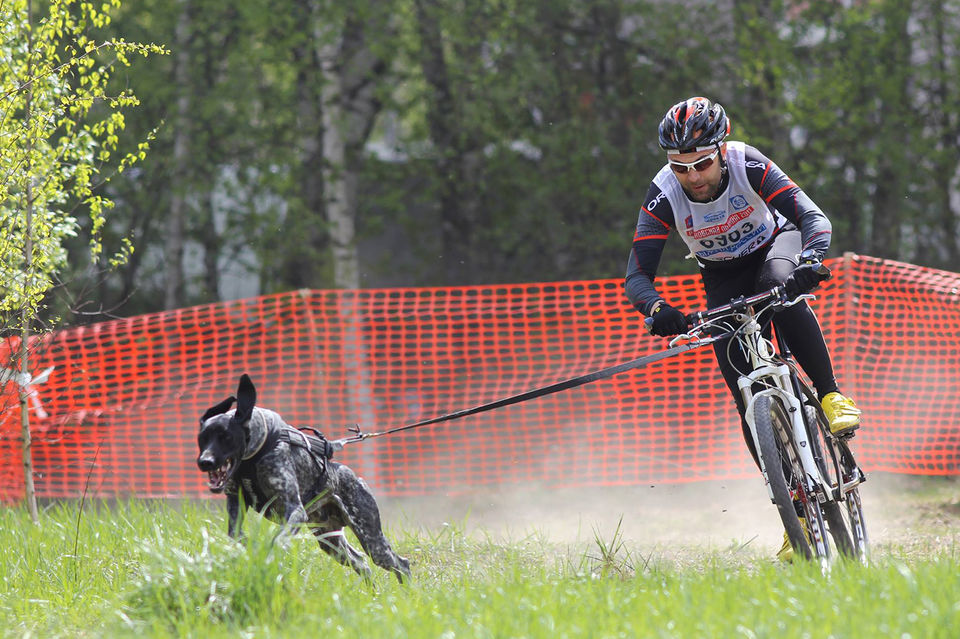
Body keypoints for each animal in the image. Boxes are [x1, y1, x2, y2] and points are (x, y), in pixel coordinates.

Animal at [195, 376, 408, 584]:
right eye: (202, 438)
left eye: (226, 436)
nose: (204, 462)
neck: (252, 457)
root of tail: (356, 477)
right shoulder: (235, 502)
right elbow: (235, 535)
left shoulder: (295, 510)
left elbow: (277, 541)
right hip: (330, 542)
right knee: (363, 564)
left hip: (372, 541)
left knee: (401, 564)